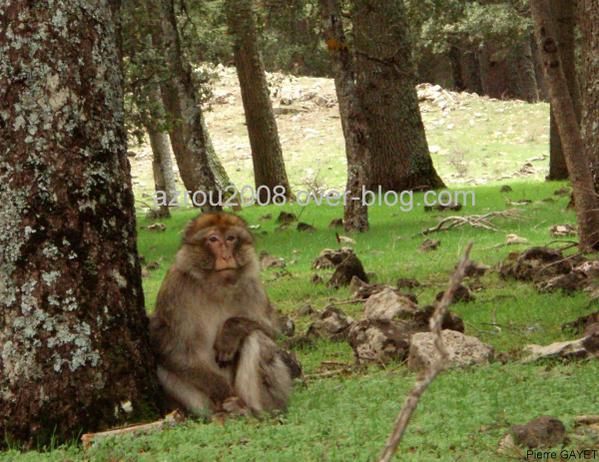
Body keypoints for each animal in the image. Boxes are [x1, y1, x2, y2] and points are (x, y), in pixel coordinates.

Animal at [149, 212, 292, 416]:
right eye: (213, 239)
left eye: (231, 238)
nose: (226, 255)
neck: (217, 285)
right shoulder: (174, 288)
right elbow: (167, 345)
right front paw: (221, 389)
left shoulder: (253, 285)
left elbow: (273, 331)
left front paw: (230, 332)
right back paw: (216, 413)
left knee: (255, 336)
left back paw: (250, 410)